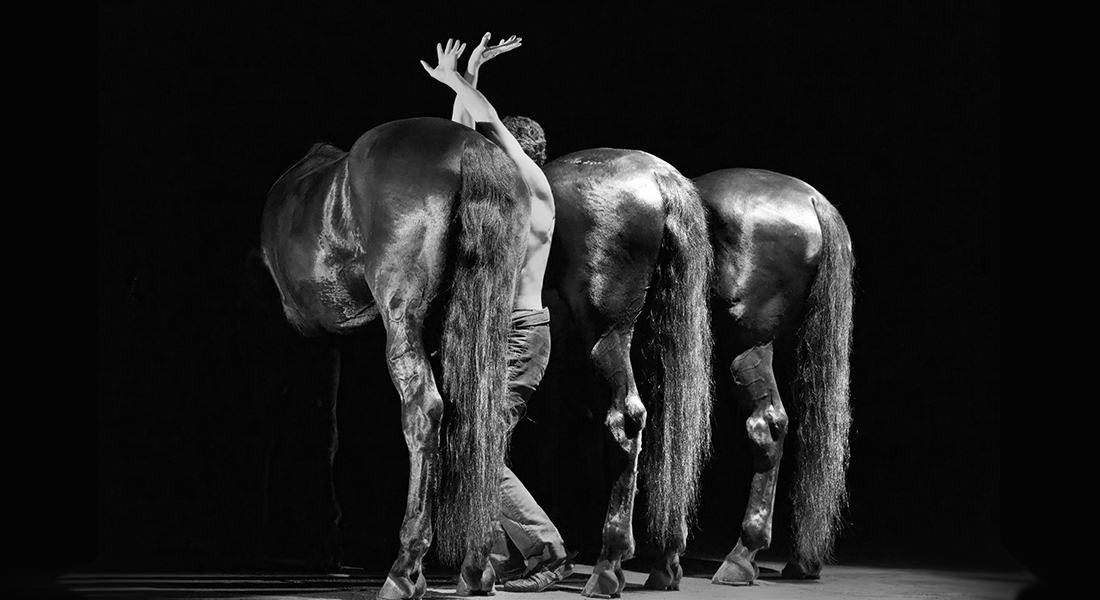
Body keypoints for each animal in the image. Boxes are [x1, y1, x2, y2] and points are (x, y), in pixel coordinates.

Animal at [248, 116, 528, 598]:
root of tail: (470, 146)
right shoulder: (333, 341)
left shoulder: (302, 336)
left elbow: (303, 425)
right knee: (484, 419)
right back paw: (475, 568)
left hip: (401, 319)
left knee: (424, 412)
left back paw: (404, 568)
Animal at [539, 147, 712, 594]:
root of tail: (660, 177)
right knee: (669, 426)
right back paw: (665, 560)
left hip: (607, 335)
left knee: (626, 419)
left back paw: (608, 561)